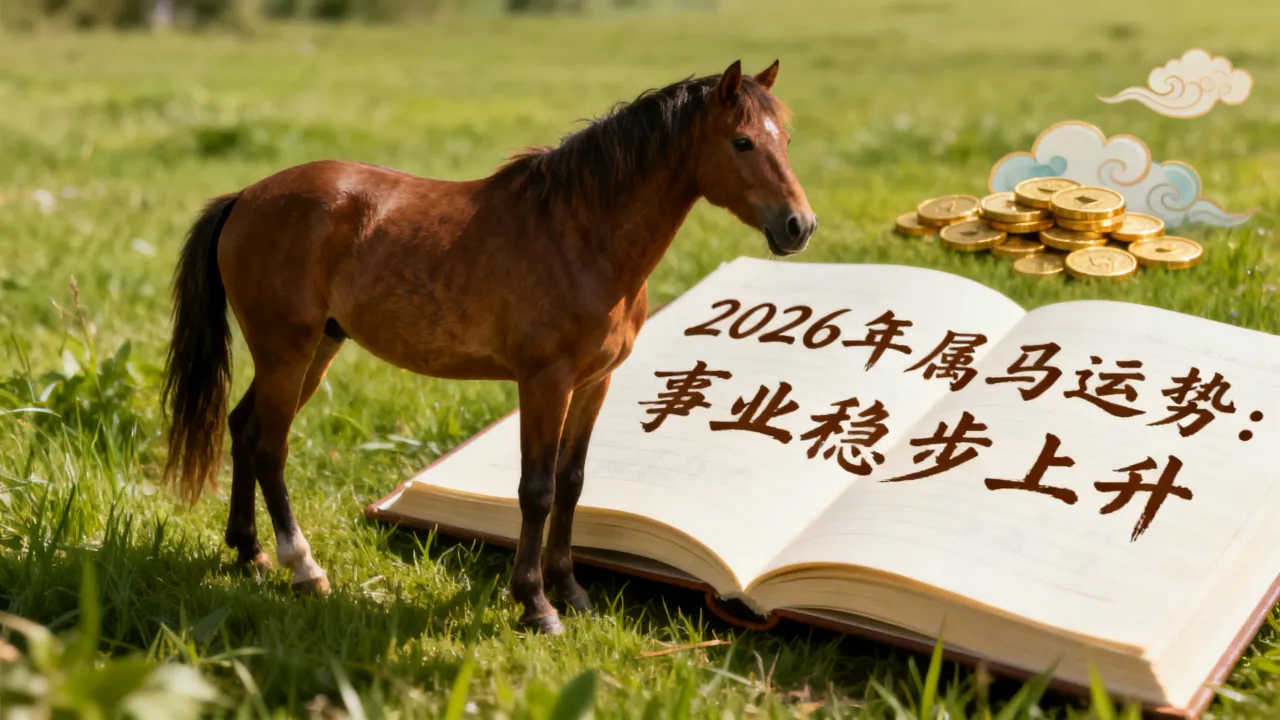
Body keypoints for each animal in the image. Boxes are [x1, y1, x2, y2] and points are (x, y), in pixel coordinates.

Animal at [161, 59, 816, 635]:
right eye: (741, 142)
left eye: (785, 138)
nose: (799, 226)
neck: (580, 235)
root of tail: (246, 197)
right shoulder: (544, 381)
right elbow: (536, 490)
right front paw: (536, 604)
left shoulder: (594, 381)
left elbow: (572, 483)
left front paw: (571, 591)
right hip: (287, 352)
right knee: (269, 446)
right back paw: (303, 568)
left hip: (314, 351)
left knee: (243, 428)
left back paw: (249, 553)